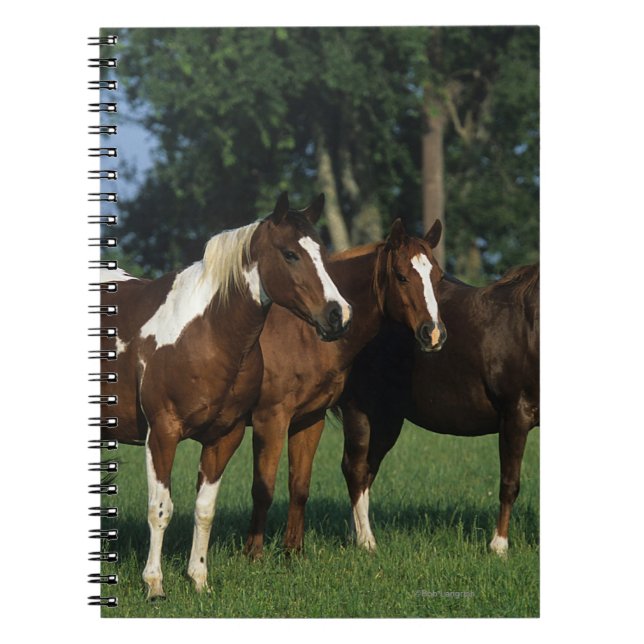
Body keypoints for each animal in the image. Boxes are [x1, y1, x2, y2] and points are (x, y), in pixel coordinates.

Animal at [99, 193, 352, 599]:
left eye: (322, 252)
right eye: (290, 254)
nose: (338, 315)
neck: (205, 332)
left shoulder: (224, 437)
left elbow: (205, 509)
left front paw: (199, 579)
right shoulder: (162, 434)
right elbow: (160, 509)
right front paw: (154, 585)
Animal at [229, 218, 447, 557]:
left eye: (438, 276)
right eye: (401, 276)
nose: (433, 333)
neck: (302, 333)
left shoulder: (309, 419)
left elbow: (299, 486)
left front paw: (293, 552)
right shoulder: (270, 420)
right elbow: (263, 489)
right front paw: (253, 553)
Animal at [339, 256, 539, 555]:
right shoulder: (515, 415)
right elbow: (509, 483)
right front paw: (499, 546)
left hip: (386, 419)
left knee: (366, 471)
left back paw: (358, 535)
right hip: (359, 411)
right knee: (355, 469)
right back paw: (366, 542)